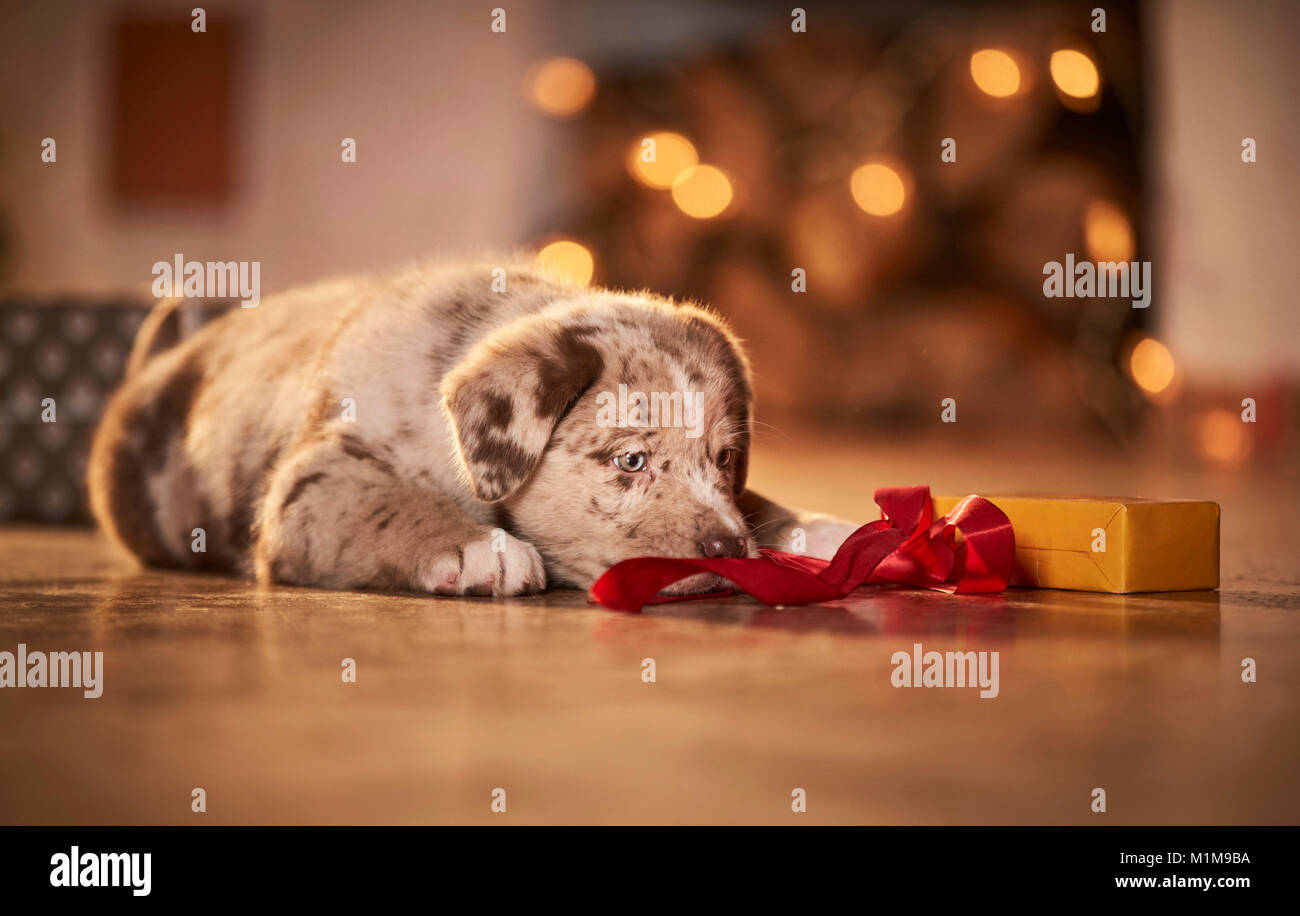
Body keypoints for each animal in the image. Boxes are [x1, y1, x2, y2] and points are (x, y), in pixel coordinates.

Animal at [86, 261, 857, 597]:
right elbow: (388, 505)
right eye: (631, 462)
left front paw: (820, 528)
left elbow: (762, 503)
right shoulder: (311, 486)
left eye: (726, 460)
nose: (726, 552)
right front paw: (480, 549)